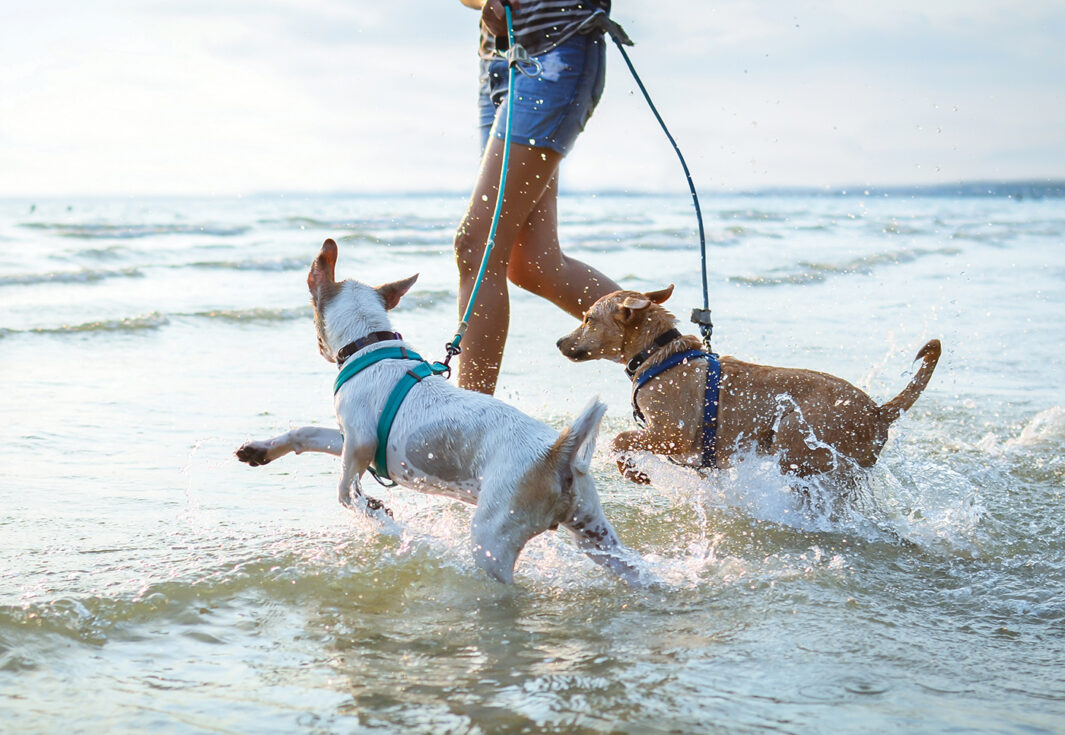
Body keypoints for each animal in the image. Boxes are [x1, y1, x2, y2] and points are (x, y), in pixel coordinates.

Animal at [237, 238, 639, 583]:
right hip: (595, 535)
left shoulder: (360, 442)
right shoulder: (350, 438)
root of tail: (558, 454)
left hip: (493, 538)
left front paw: (376, 513)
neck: (369, 345)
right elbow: (306, 434)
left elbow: (345, 491)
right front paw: (261, 450)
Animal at [558, 285, 941, 481]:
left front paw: (633, 471)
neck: (659, 354)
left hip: (794, 432)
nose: (559, 342)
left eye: (588, 319)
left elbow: (621, 439)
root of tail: (878, 411)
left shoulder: (671, 434)